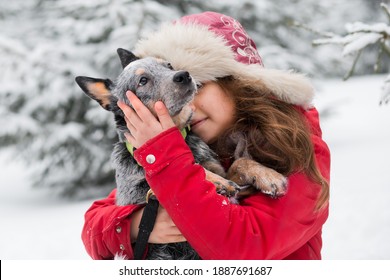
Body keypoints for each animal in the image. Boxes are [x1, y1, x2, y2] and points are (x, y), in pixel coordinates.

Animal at [75, 48, 286, 260]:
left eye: (168, 65)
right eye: (143, 80)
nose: (184, 75)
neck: (180, 140)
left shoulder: (227, 173)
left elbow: (239, 162)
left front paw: (268, 176)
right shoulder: (140, 194)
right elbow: (191, 172)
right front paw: (218, 182)